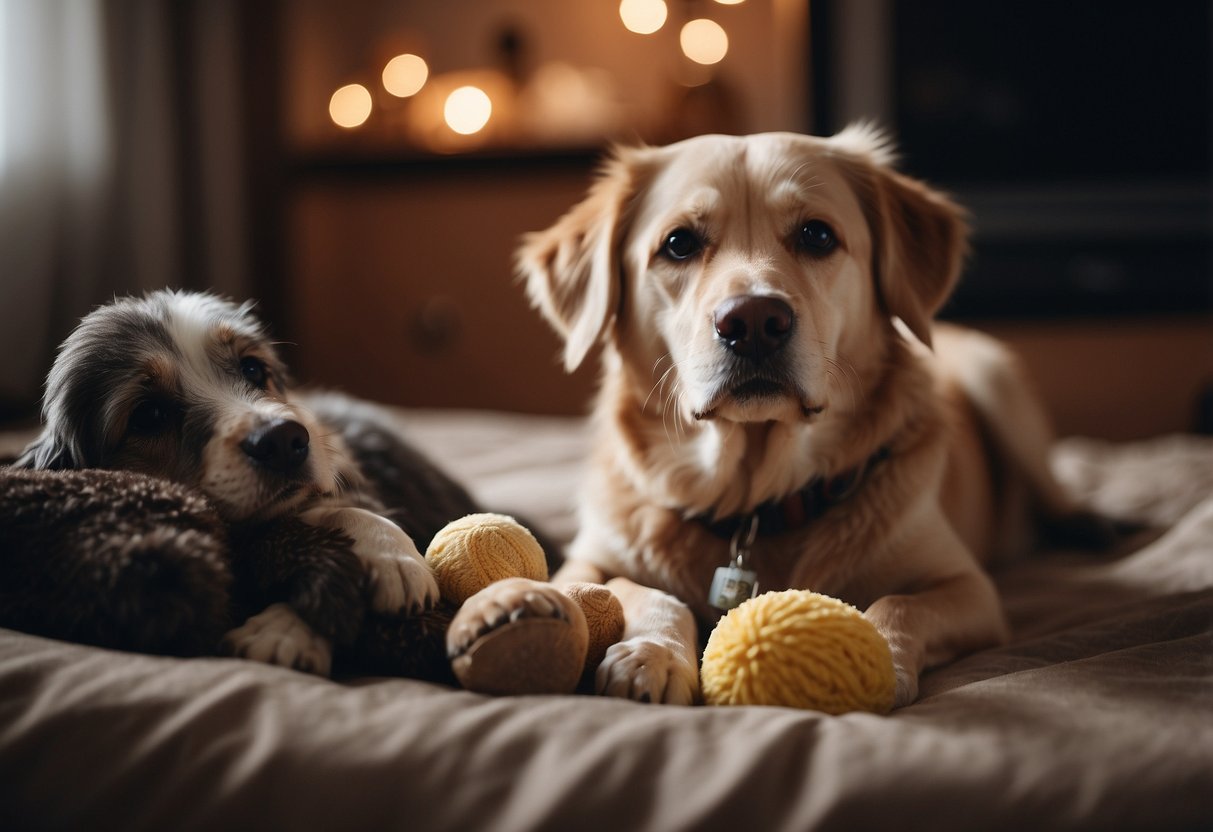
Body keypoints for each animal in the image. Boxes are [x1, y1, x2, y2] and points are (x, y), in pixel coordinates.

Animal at [477, 125, 1096, 708]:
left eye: (817, 235)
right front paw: (652, 654)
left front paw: (878, 655)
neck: (754, 501)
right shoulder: (581, 567)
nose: (753, 321)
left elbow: (899, 603)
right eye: (678, 243)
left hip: (998, 381)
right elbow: (645, 592)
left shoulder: (971, 589)